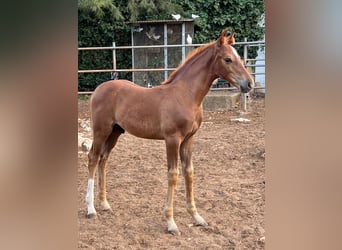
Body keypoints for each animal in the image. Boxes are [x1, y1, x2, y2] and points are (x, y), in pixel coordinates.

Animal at [84, 29, 252, 234]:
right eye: (227, 59)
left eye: (238, 57)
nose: (249, 84)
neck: (186, 95)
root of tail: (98, 89)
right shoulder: (172, 139)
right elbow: (173, 175)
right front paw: (171, 223)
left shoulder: (189, 139)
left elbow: (189, 172)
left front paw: (196, 217)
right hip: (101, 130)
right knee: (93, 158)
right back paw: (91, 209)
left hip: (115, 132)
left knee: (103, 159)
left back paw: (105, 204)